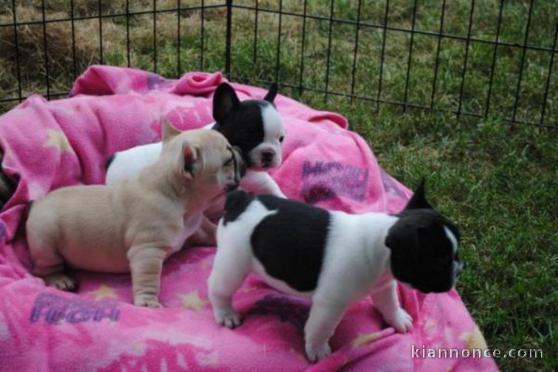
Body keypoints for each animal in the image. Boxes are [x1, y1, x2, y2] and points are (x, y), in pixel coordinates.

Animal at [27, 120, 244, 306]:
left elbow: (210, 230)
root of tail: (37, 203)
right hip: (45, 241)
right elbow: (148, 278)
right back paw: (60, 279)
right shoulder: (147, 250)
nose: (238, 149)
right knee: (45, 266)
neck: (177, 196)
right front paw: (147, 302)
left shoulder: (195, 226)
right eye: (228, 161)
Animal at [208, 182, 462, 362]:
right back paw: (226, 314)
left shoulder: (383, 285)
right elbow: (320, 328)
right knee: (219, 288)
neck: (381, 247)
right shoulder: (331, 304)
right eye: (439, 261)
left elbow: (389, 303)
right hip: (234, 261)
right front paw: (318, 351)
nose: (459, 268)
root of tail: (241, 200)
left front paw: (398, 319)